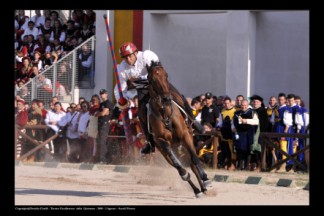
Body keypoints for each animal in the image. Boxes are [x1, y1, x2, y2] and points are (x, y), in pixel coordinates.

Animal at [146, 61, 211, 197]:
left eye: (166, 76)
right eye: (152, 79)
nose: (166, 98)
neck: (164, 113)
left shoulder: (185, 135)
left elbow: (195, 159)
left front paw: (205, 178)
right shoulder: (162, 142)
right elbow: (180, 168)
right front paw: (187, 176)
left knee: (192, 163)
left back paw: (203, 186)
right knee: (180, 167)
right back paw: (197, 190)